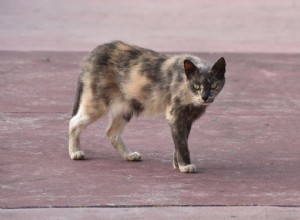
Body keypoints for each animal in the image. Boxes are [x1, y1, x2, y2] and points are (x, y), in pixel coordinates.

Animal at [69, 40, 226, 173]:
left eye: (214, 85)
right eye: (196, 85)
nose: (205, 97)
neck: (184, 82)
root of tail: (91, 54)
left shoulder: (186, 120)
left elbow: (181, 141)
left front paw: (177, 164)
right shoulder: (175, 115)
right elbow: (182, 144)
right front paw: (185, 165)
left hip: (125, 108)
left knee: (111, 132)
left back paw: (129, 155)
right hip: (96, 104)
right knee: (73, 122)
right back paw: (74, 152)